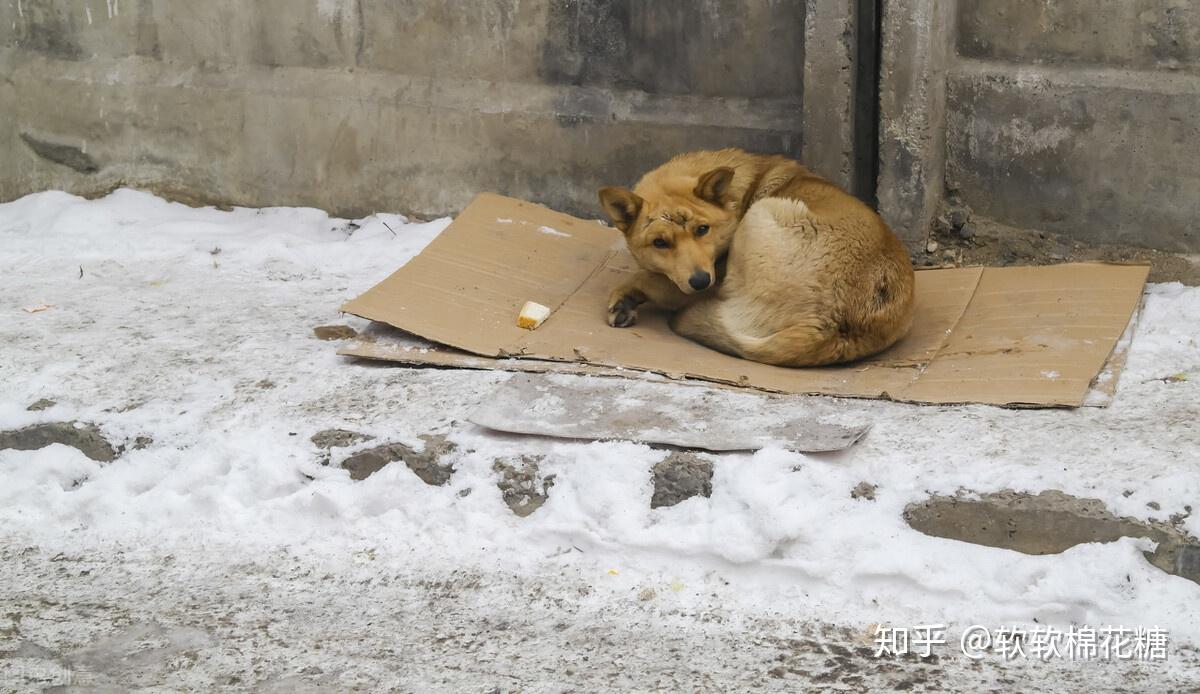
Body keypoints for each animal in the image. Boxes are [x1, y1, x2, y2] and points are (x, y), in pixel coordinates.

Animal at [600, 147, 916, 367]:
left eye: (702, 229)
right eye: (660, 243)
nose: (700, 281)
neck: (739, 196)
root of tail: (833, 325)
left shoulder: (712, 274)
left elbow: (650, 279)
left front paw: (628, 293)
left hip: (761, 214)